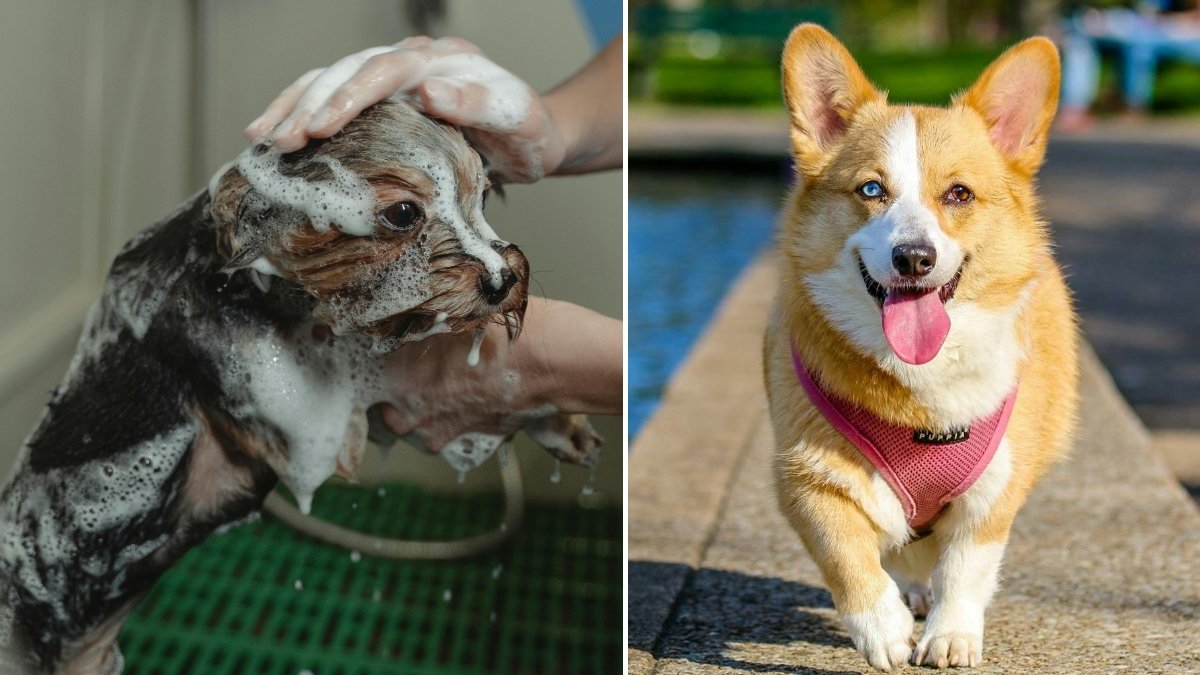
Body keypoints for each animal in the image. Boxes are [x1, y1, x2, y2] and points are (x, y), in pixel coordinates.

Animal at [763, 24, 1084, 667]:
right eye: (871, 189)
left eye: (959, 194)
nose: (915, 258)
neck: (920, 389)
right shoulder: (806, 478)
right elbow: (847, 556)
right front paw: (881, 630)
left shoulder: (994, 491)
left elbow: (966, 567)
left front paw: (951, 635)